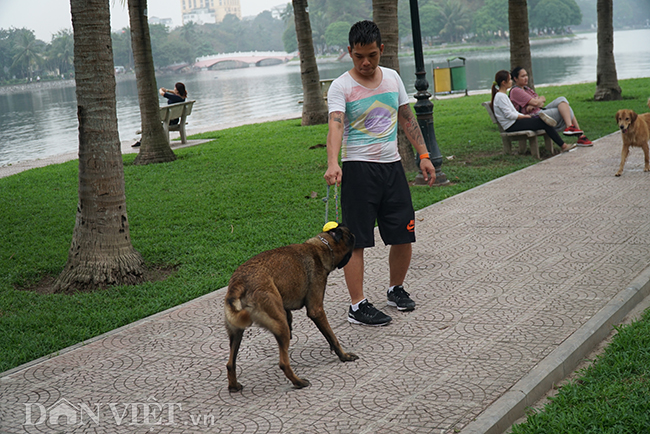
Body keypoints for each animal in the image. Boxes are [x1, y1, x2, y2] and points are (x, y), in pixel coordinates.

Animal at [221, 224, 354, 390]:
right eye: (350, 237)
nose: (356, 237)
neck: (319, 247)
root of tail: (239, 281)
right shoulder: (316, 310)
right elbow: (332, 337)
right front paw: (344, 356)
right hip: (280, 326)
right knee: (283, 363)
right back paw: (299, 382)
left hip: (236, 332)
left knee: (230, 364)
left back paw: (234, 386)